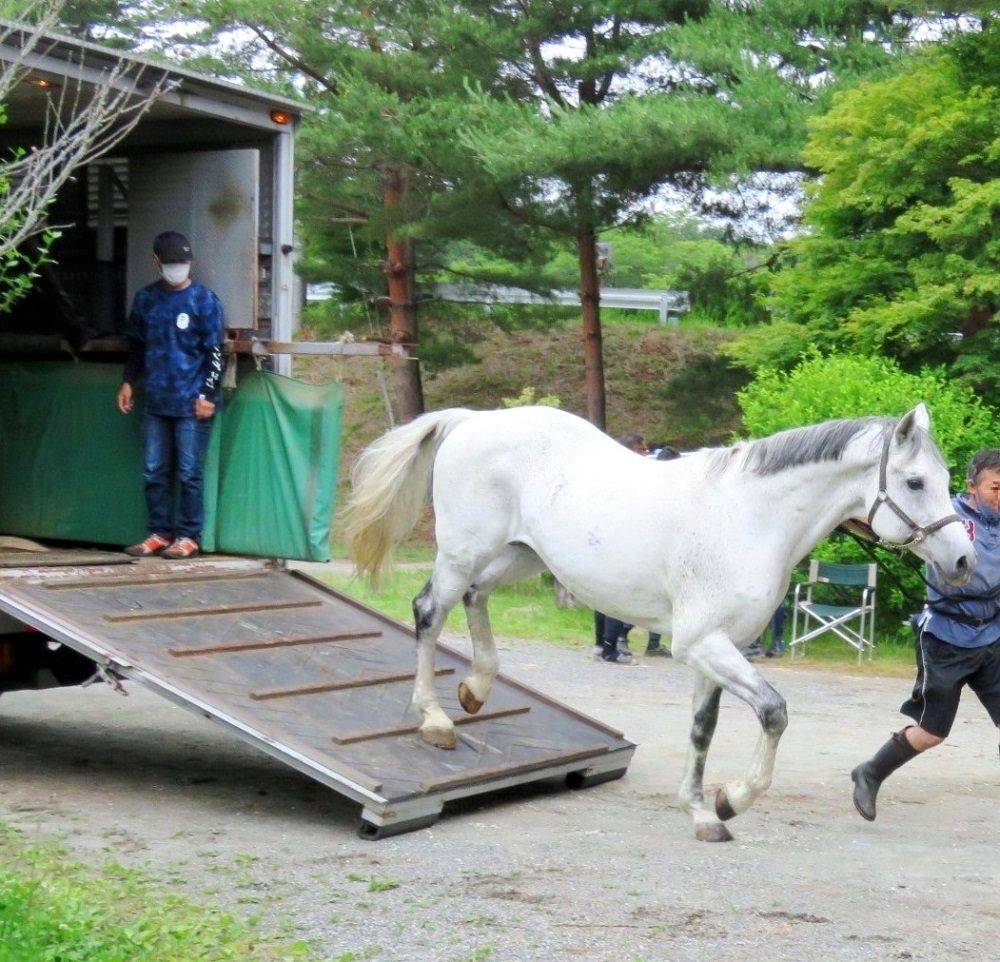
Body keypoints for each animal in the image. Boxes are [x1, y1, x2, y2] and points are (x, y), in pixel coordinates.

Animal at [346, 404, 976, 840]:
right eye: (915, 482)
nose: (963, 561)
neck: (751, 517)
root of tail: (472, 421)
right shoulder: (701, 644)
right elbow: (774, 712)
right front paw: (732, 799)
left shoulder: (717, 649)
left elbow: (703, 729)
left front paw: (701, 811)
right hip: (462, 553)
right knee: (430, 612)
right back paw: (435, 719)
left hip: (521, 555)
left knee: (475, 599)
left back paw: (476, 688)